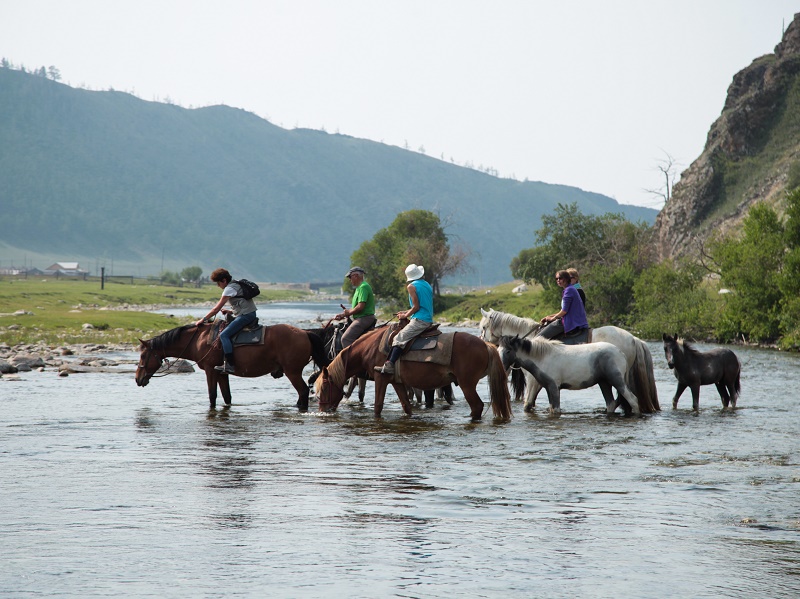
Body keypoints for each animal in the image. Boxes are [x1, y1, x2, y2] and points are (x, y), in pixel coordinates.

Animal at [135, 324, 324, 412]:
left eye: (143, 356)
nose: (138, 378)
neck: (200, 339)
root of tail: (305, 333)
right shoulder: (221, 373)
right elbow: (227, 396)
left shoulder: (210, 370)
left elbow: (212, 396)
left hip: (292, 372)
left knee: (303, 391)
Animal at [314, 324, 512, 422]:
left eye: (324, 387)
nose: (322, 411)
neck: (369, 348)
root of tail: (486, 345)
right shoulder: (397, 382)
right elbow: (406, 406)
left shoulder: (380, 378)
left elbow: (378, 406)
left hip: (467, 384)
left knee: (477, 406)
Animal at [496, 336, 640, 414]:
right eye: (498, 349)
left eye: (508, 351)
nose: (501, 367)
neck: (543, 357)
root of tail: (620, 352)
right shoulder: (548, 388)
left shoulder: (554, 387)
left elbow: (556, 410)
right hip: (604, 383)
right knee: (610, 404)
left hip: (617, 380)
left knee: (633, 400)